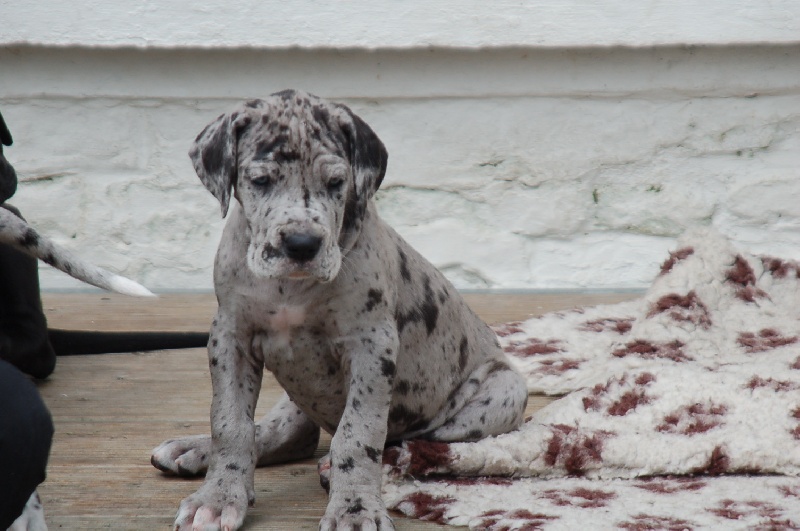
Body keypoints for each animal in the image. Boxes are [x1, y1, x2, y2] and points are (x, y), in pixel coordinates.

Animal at [151, 90, 528, 530]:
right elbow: (230, 422)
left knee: (416, 443)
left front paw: (355, 507)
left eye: (336, 183)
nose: (301, 244)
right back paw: (194, 449)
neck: (290, 289)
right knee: (287, 434)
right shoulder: (230, 337)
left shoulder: (371, 346)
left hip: (502, 393)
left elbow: (359, 432)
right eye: (260, 181)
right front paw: (218, 494)